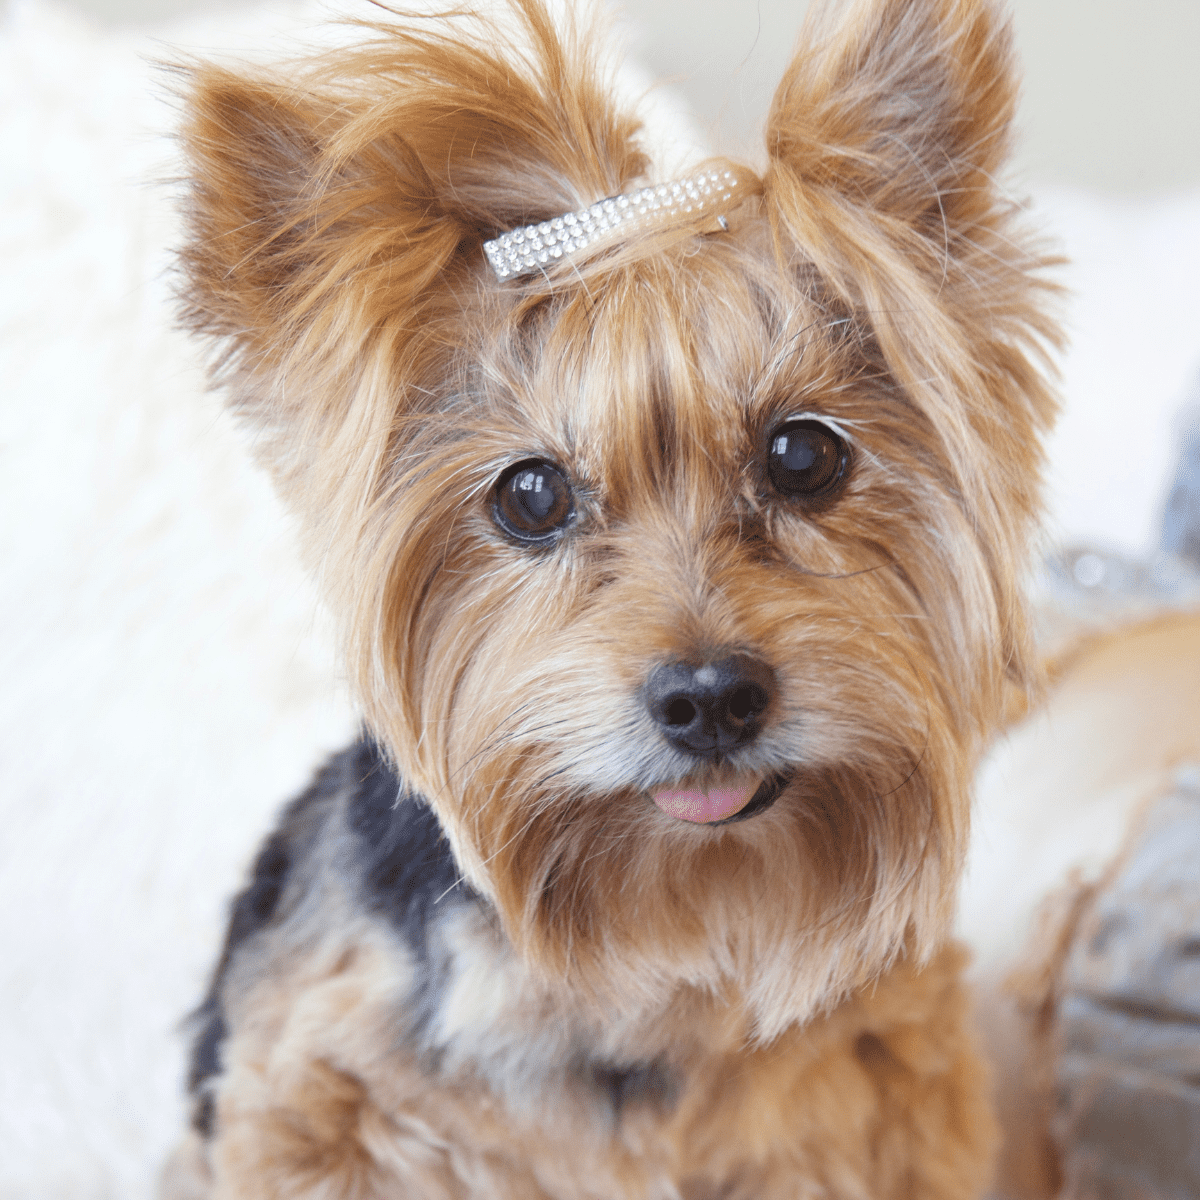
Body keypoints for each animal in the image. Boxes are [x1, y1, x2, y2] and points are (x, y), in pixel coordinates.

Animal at [162, 2, 1060, 1190]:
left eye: (804, 456)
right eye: (531, 495)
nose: (710, 699)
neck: (668, 931)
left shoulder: (878, 1100)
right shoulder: (316, 1097)